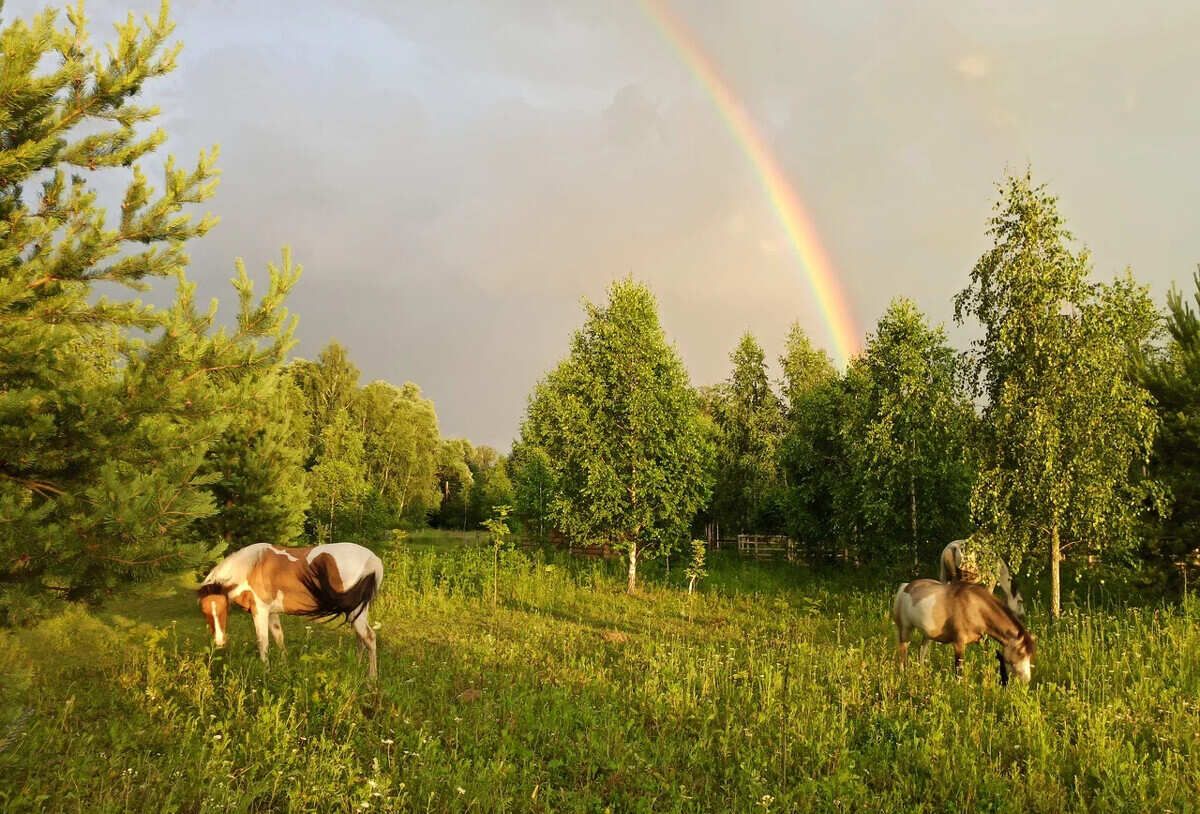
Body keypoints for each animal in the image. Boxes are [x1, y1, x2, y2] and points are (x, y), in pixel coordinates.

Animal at [892, 576, 1032, 686]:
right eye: (1020, 653)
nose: (1026, 680)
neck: (976, 607)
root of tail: (905, 586)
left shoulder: (981, 641)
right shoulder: (959, 644)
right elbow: (959, 670)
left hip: (927, 636)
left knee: (921, 652)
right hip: (905, 630)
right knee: (903, 654)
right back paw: (903, 676)